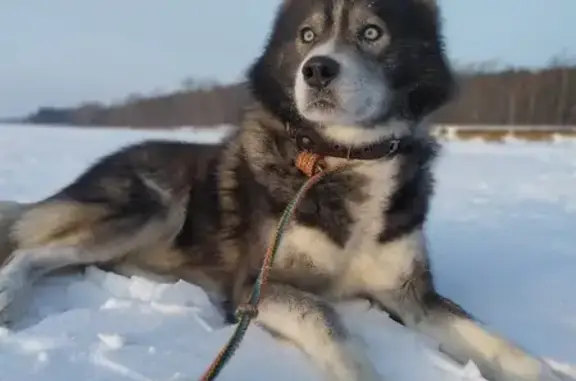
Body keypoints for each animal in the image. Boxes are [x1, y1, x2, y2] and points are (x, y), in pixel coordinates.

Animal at [0, 0, 568, 380]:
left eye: (372, 32)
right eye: (307, 35)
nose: (317, 69)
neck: (341, 160)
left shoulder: (412, 295)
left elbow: (496, 341)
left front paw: (546, 370)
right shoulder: (258, 287)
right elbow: (329, 321)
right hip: (149, 207)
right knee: (32, 251)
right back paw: (8, 294)